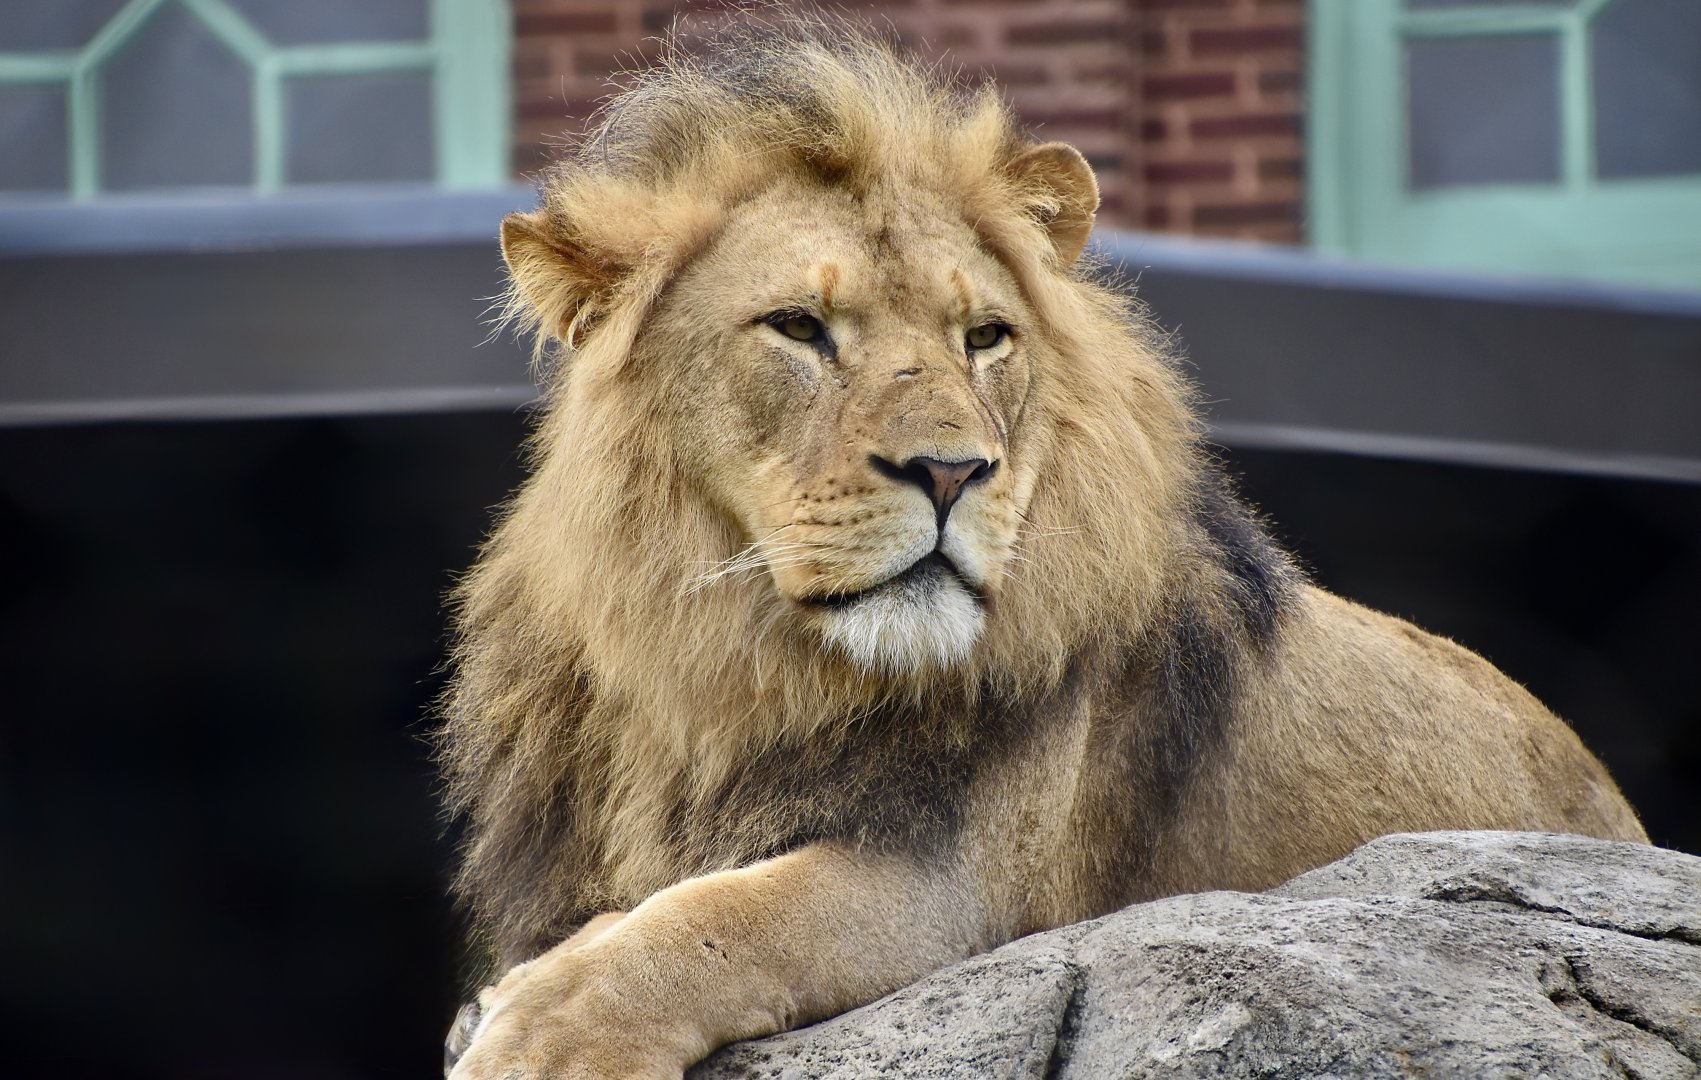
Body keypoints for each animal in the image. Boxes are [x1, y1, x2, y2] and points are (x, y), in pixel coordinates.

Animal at [437, 16, 1645, 1079]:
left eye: (984, 338)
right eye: (798, 328)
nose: (950, 473)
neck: (721, 675)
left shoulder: (963, 888)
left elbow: (715, 918)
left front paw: (540, 1036)